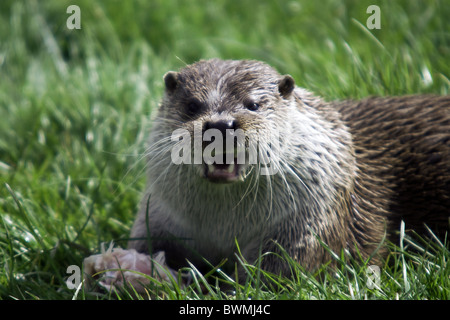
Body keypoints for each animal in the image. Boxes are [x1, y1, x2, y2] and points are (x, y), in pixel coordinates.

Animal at [122, 58, 446, 282]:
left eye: (253, 105)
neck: (223, 227)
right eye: (191, 106)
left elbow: (277, 274)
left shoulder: (307, 226)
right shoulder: (158, 217)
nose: (221, 124)